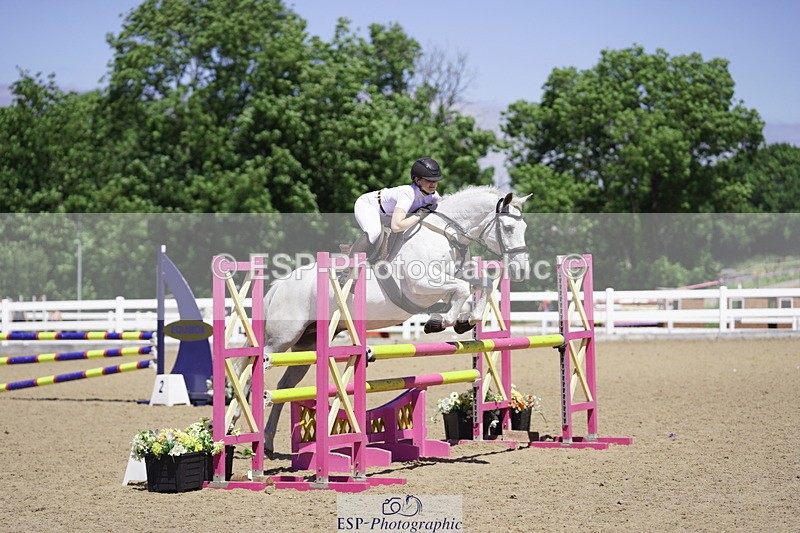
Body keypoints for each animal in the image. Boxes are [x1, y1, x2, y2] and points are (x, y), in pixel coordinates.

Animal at [251, 185, 531, 456]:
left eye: (525, 228)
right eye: (508, 228)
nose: (520, 270)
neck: (444, 236)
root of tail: (280, 284)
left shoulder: (453, 277)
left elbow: (481, 283)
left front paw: (467, 321)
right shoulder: (421, 286)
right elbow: (461, 289)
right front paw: (440, 322)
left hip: (307, 345)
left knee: (285, 386)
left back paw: (267, 443)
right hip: (282, 339)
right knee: (257, 368)